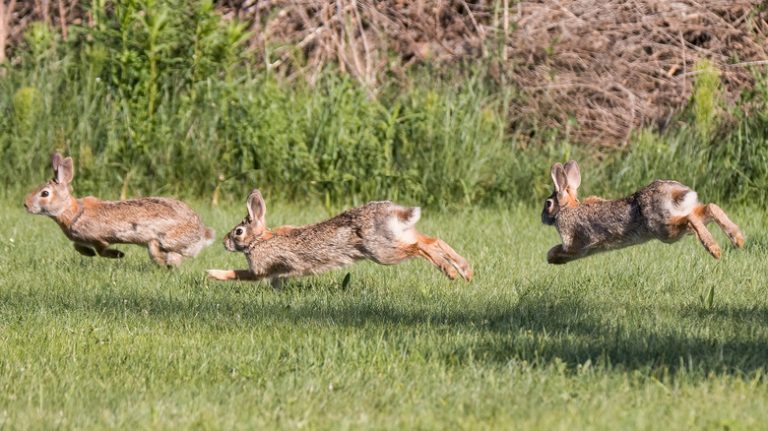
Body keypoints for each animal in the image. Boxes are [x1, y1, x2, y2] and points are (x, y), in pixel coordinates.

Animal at [24, 152, 216, 266]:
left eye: (44, 193)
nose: (25, 205)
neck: (72, 211)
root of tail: (202, 233)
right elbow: (77, 246)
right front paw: (88, 253)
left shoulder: (98, 238)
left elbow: (101, 250)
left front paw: (118, 255)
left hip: (166, 240)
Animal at [204, 188, 472, 286]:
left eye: (238, 232)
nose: (224, 243)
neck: (260, 240)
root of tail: (392, 211)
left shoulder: (260, 268)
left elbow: (239, 274)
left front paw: (212, 273)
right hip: (399, 235)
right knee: (432, 240)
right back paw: (465, 271)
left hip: (383, 252)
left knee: (419, 248)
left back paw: (450, 272)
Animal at [540, 161, 744, 264]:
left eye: (548, 204)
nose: (542, 218)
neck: (568, 208)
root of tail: (675, 192)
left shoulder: (572, 242)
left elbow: (562, 249)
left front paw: (550, 257)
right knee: (709, 208)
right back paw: (738, 239)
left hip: (665, 230)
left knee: (689, 219)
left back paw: (715, 250)